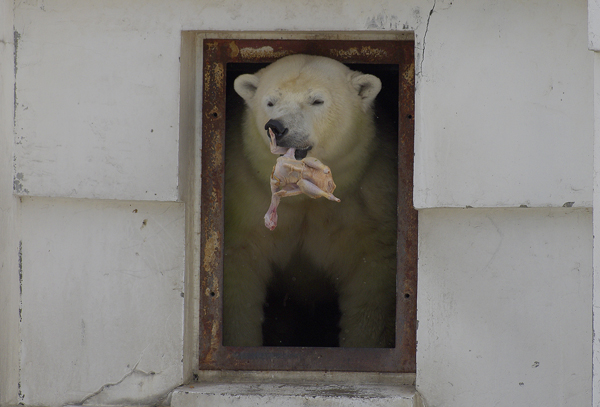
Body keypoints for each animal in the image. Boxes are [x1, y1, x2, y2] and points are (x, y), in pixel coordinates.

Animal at [223, 53, 396, 348]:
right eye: (270, 102)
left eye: (316, 100)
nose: (276, 126)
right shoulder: (246, 192)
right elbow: (240, 272)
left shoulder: (369, 196)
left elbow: (369, 281)